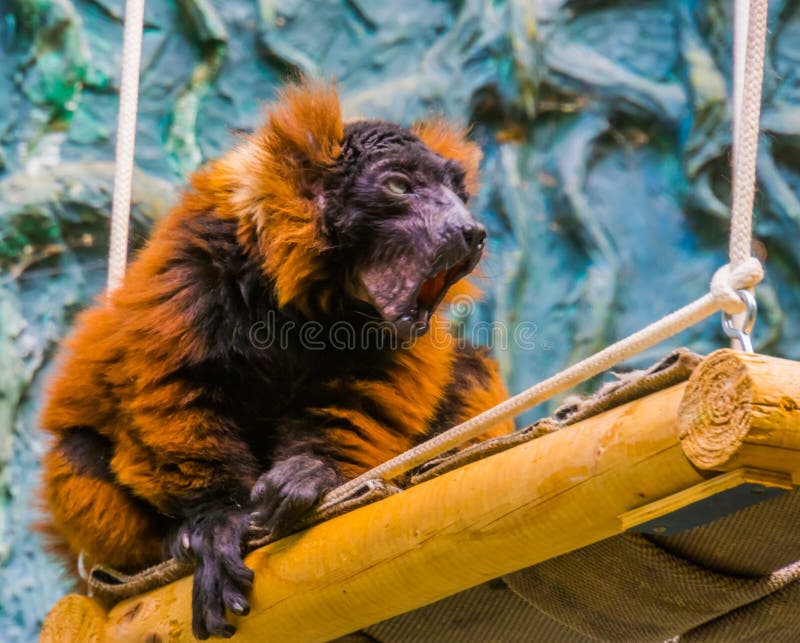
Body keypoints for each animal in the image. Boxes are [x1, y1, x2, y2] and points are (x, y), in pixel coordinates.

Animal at [38, 81, 513, 639]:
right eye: (399, 186)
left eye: (459, 195)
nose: (471, 231)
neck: (313, 294)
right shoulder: (202, 258)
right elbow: (173, 381)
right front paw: (217, 519)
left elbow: (366, 392)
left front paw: (310, 473)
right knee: (80, 449)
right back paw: (170, 541)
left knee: (469, 366)